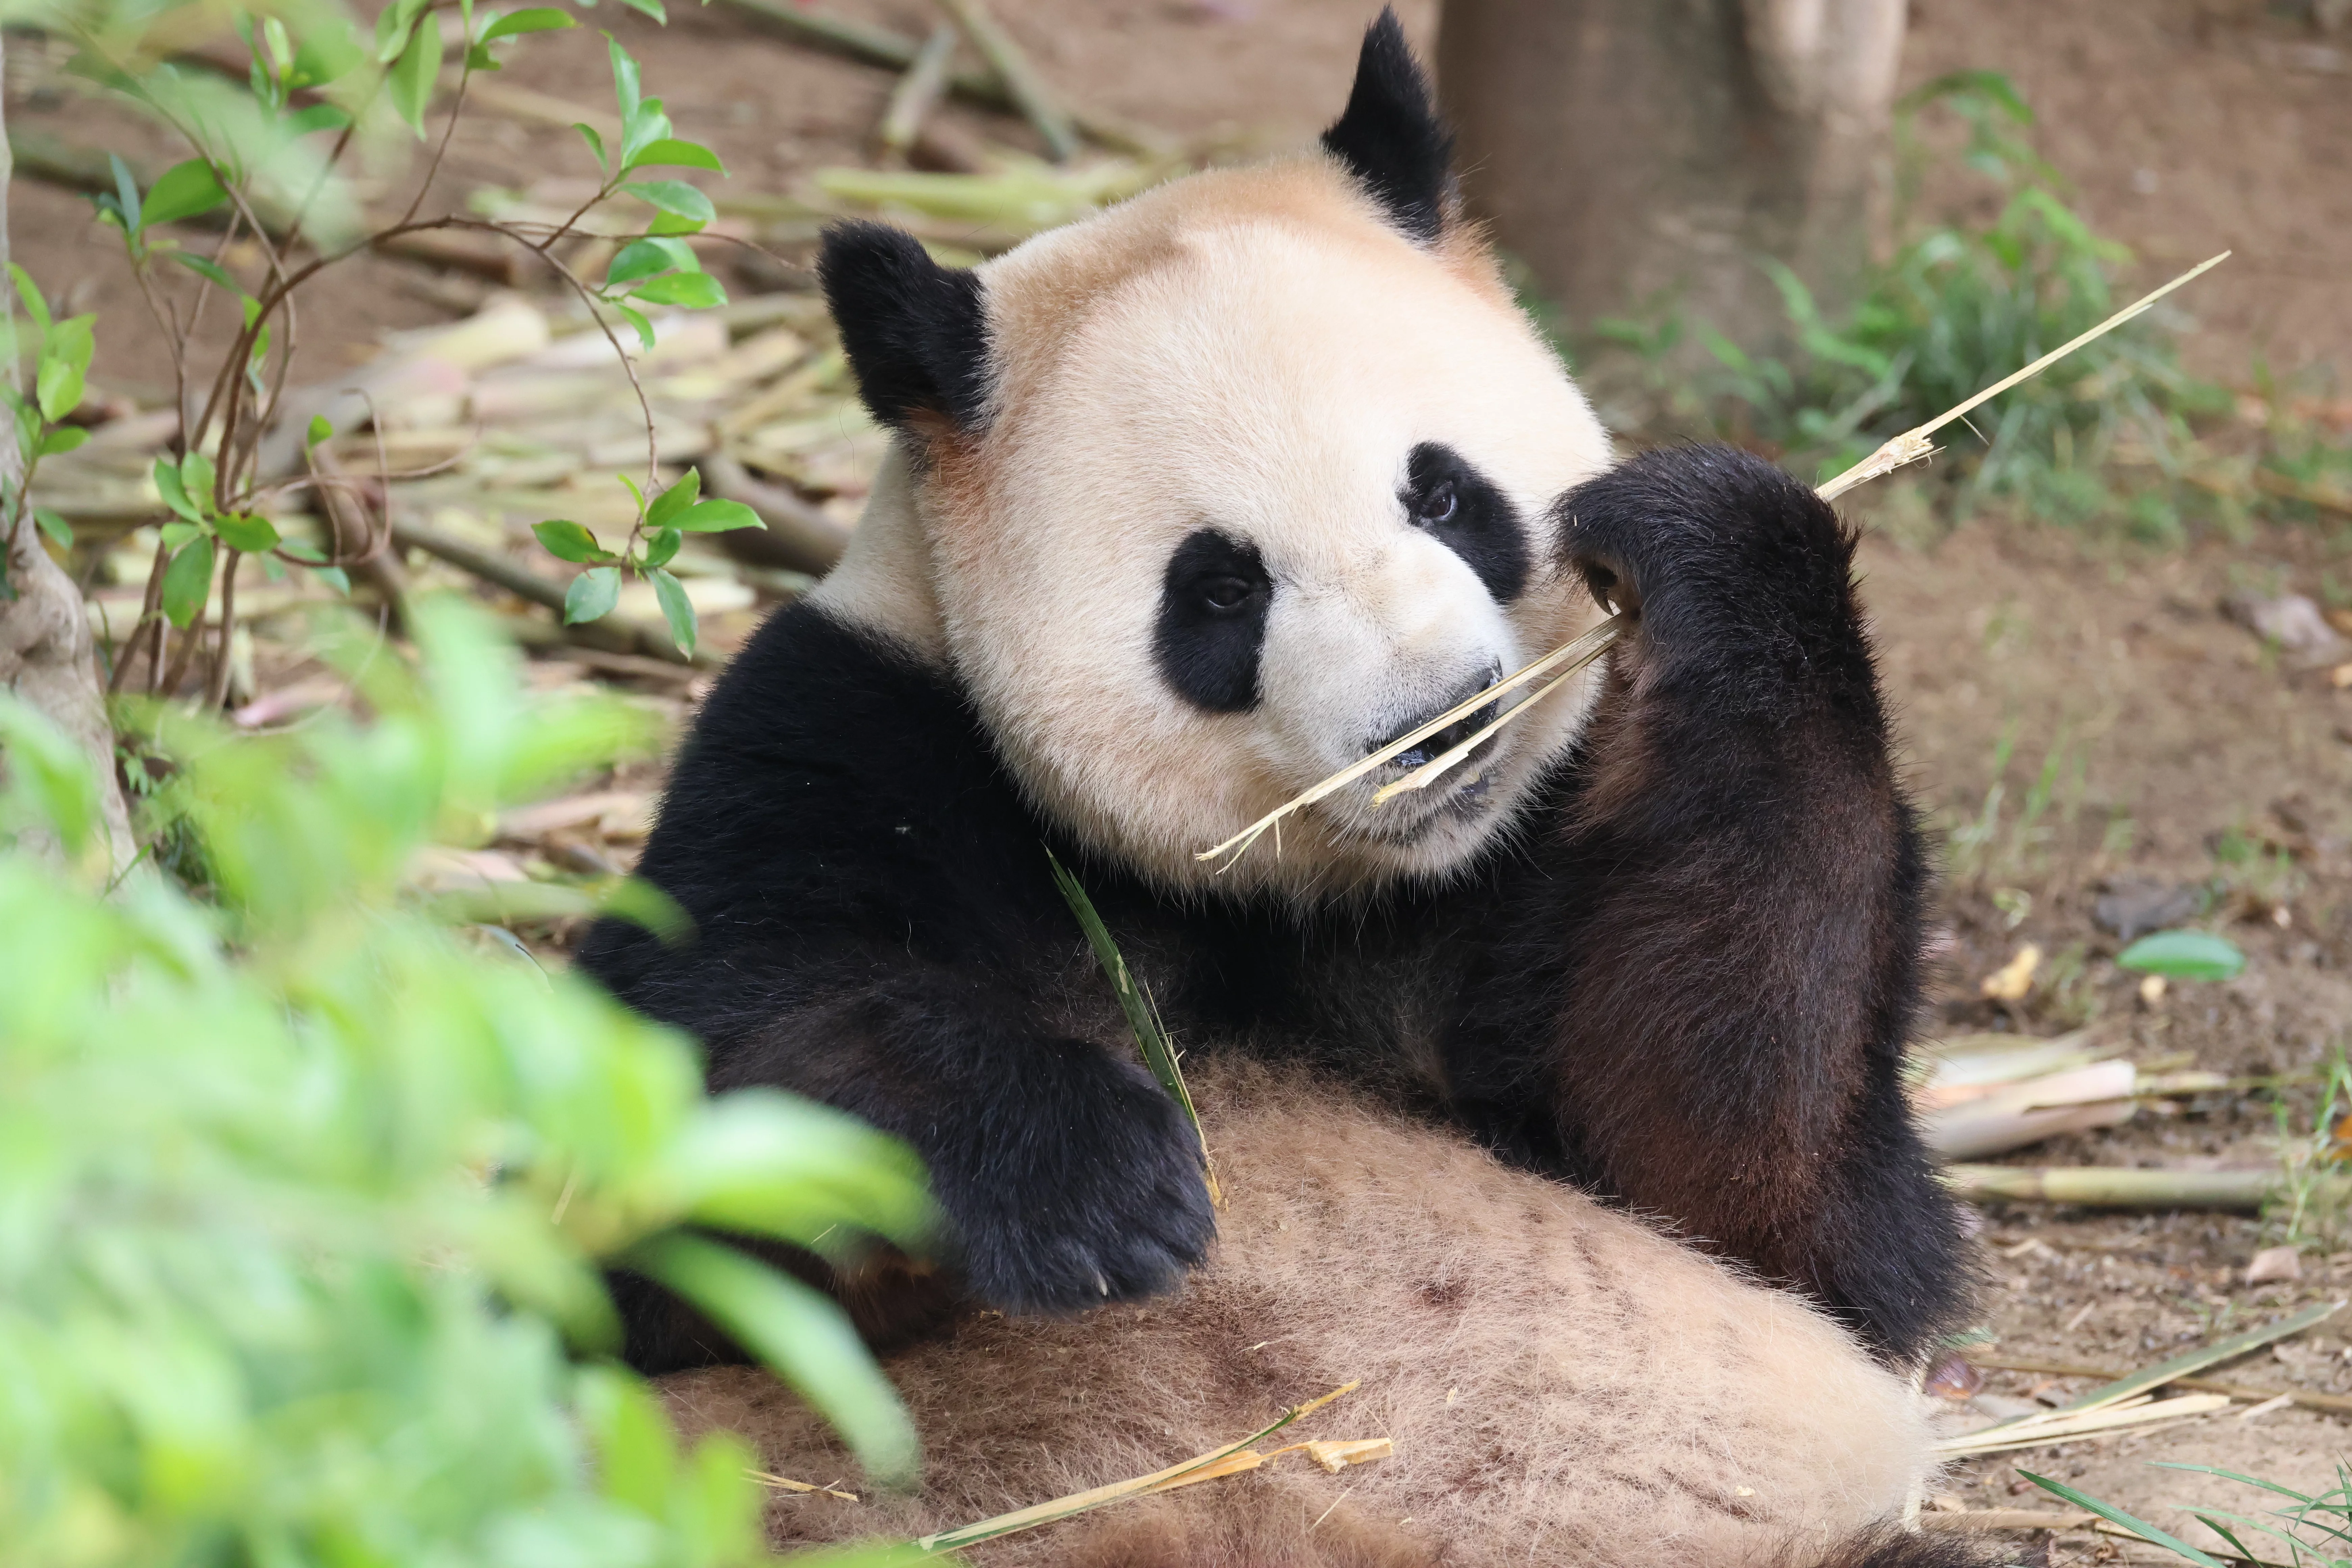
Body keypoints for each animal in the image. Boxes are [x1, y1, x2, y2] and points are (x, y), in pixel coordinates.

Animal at [579, 12, 1987, 1566]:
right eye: (1221, 587)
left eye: (1442, 495)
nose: (1438, 722)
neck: (1315, 895)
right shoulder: (853, 737)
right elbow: (681, 1121)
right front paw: (1091, 1178)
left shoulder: (1532, 869)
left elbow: (1767, 1184)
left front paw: (1702, 538)